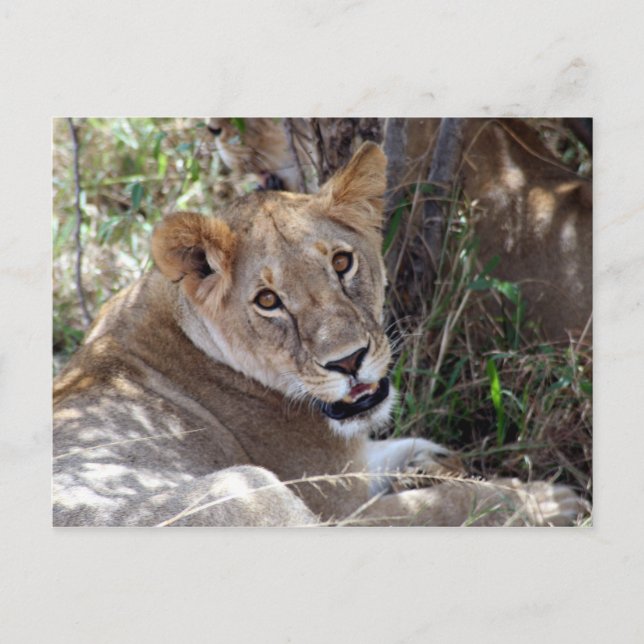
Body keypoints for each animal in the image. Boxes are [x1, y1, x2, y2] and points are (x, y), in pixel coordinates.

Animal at [53, 142, 586, 527]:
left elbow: (382, 452)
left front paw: (426, 457)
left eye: (342, 262)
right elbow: (452, 503)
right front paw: (546, 503)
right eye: (268, 301)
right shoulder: (340, 509)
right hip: (245, 490)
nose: (348, 361)